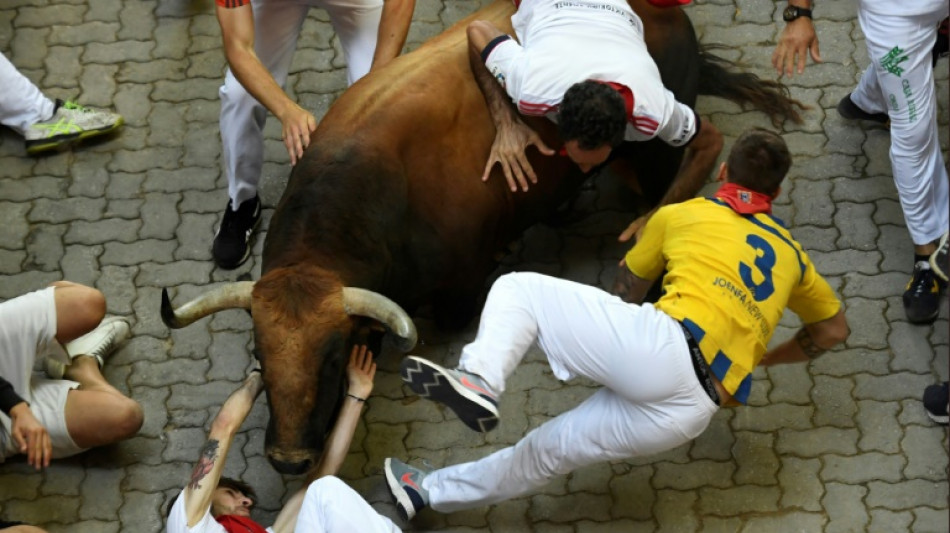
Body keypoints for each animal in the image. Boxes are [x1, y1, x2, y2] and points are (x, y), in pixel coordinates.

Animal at [161, 0, 803, 475]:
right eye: (260, 356)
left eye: (333, 356)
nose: (290, 460)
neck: (375, 190)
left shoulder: (461, 287)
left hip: (647, 152)